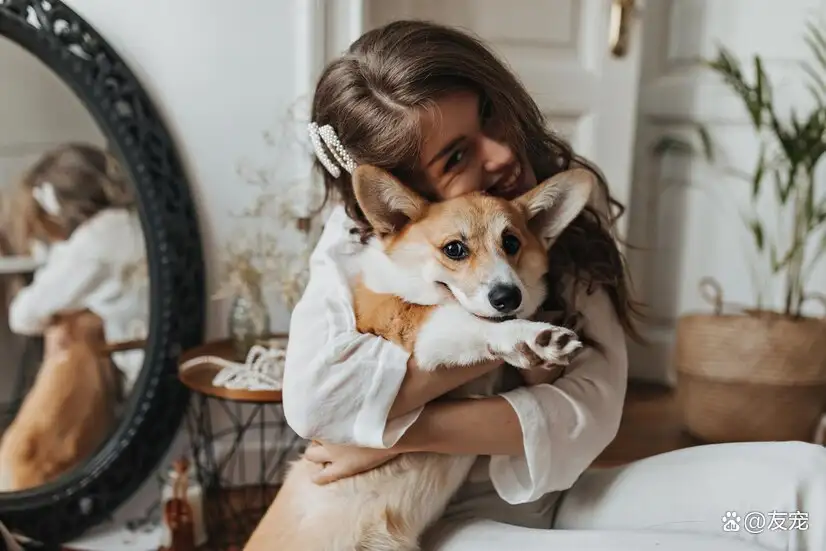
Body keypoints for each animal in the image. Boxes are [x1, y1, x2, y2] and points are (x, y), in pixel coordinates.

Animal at [245, 165, 592, 551]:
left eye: (512, 243)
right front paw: (530, 337)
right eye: (454, 249)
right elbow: (470, 324)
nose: (508, 297)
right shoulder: (409, 325)